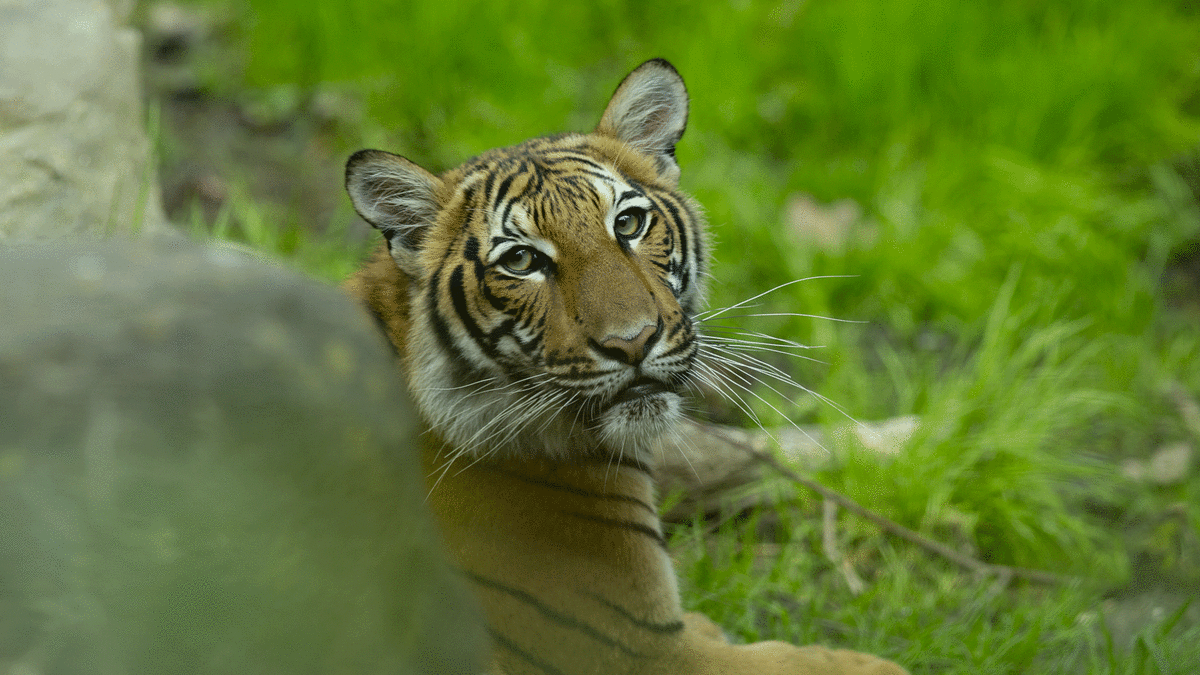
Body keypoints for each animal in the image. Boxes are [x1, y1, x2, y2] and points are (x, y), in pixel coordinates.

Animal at [343, 58, 907, 675]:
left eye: (629, 224)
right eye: (521, 260)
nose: (633, 343)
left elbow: (754, 452)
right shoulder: (636, 646)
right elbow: (805, 662)